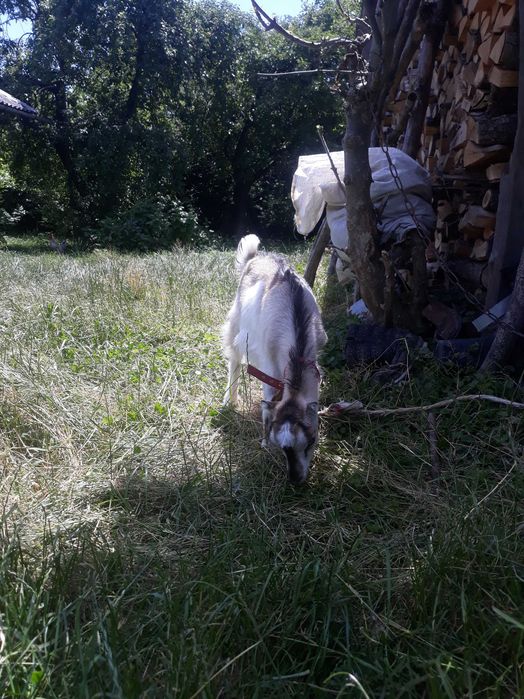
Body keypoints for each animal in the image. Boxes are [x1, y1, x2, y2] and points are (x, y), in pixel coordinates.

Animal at [222, 234, 327, 484]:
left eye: (310, 441)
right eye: (282, 448)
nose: (295, 480)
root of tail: (256, 257)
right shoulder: (268, 365)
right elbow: (268, 398)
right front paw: (263, 443)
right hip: (236, 322)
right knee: (234, 358)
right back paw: (230, 400)